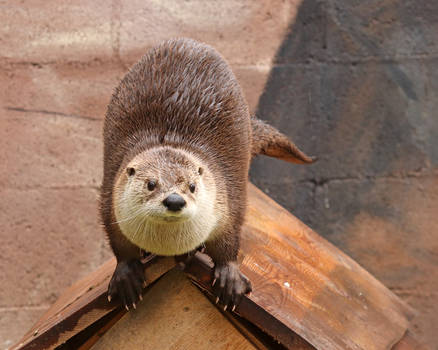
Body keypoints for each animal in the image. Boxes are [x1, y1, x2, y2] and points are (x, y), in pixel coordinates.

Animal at [101, 38, 314, 310]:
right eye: (151, 184)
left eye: (192, 186)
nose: (174, 200)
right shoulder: (110, 202)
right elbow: (119, 244)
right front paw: (126, 276)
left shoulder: (227, 201)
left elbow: (229, 239)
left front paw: (229, 276)